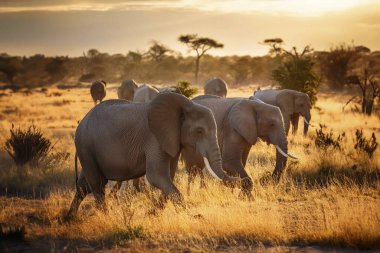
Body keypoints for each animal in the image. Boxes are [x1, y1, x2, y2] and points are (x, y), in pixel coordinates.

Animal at [65, 92, 238, 218]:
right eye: (199, 131)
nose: (237, 181)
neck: (185, 105)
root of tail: (82, 122)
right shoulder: (154, 138)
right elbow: (156, 175)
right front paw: (192, 216)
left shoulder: (172, 139)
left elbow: (169, 176)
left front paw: (153, 213)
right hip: (85, 145)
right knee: (97, 184)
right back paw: (106, 218)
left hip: (87, 149)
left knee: (84, 185)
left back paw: (68, 218)